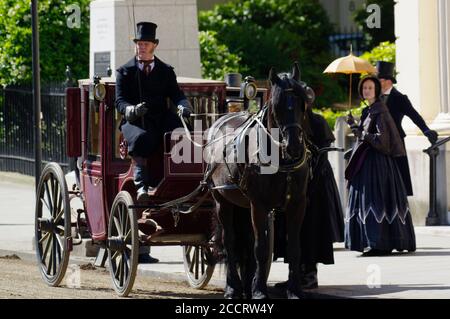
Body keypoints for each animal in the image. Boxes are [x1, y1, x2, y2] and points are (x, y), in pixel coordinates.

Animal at [206, 63, 312, 300]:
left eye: (302, 104)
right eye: (277, 106)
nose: (294, 147)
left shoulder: (298, 204)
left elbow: (294, 248)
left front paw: (294, 290)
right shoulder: (260, 205)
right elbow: (261, 249)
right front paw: (260, 291)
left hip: (243, 206)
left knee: (244, 241)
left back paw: (246, 285)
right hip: (222, 201)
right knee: (230, 242)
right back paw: (233, 287)